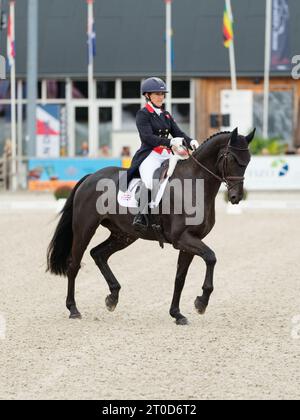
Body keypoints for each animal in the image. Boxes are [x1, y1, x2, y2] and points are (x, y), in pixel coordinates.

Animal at [48, 128, 254, 324]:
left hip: (124, 235)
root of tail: (91, 177)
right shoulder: (182, 239)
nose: (235, 197)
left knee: (98, 254)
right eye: (232, 158)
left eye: (248, 161)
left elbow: (180, 278)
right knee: (74, 264)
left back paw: (112, 297)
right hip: (85, 228)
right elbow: (211, 257)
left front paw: (177, 314)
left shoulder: (190, 241)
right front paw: (201, 303)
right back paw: (73, 309)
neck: (193, 184)